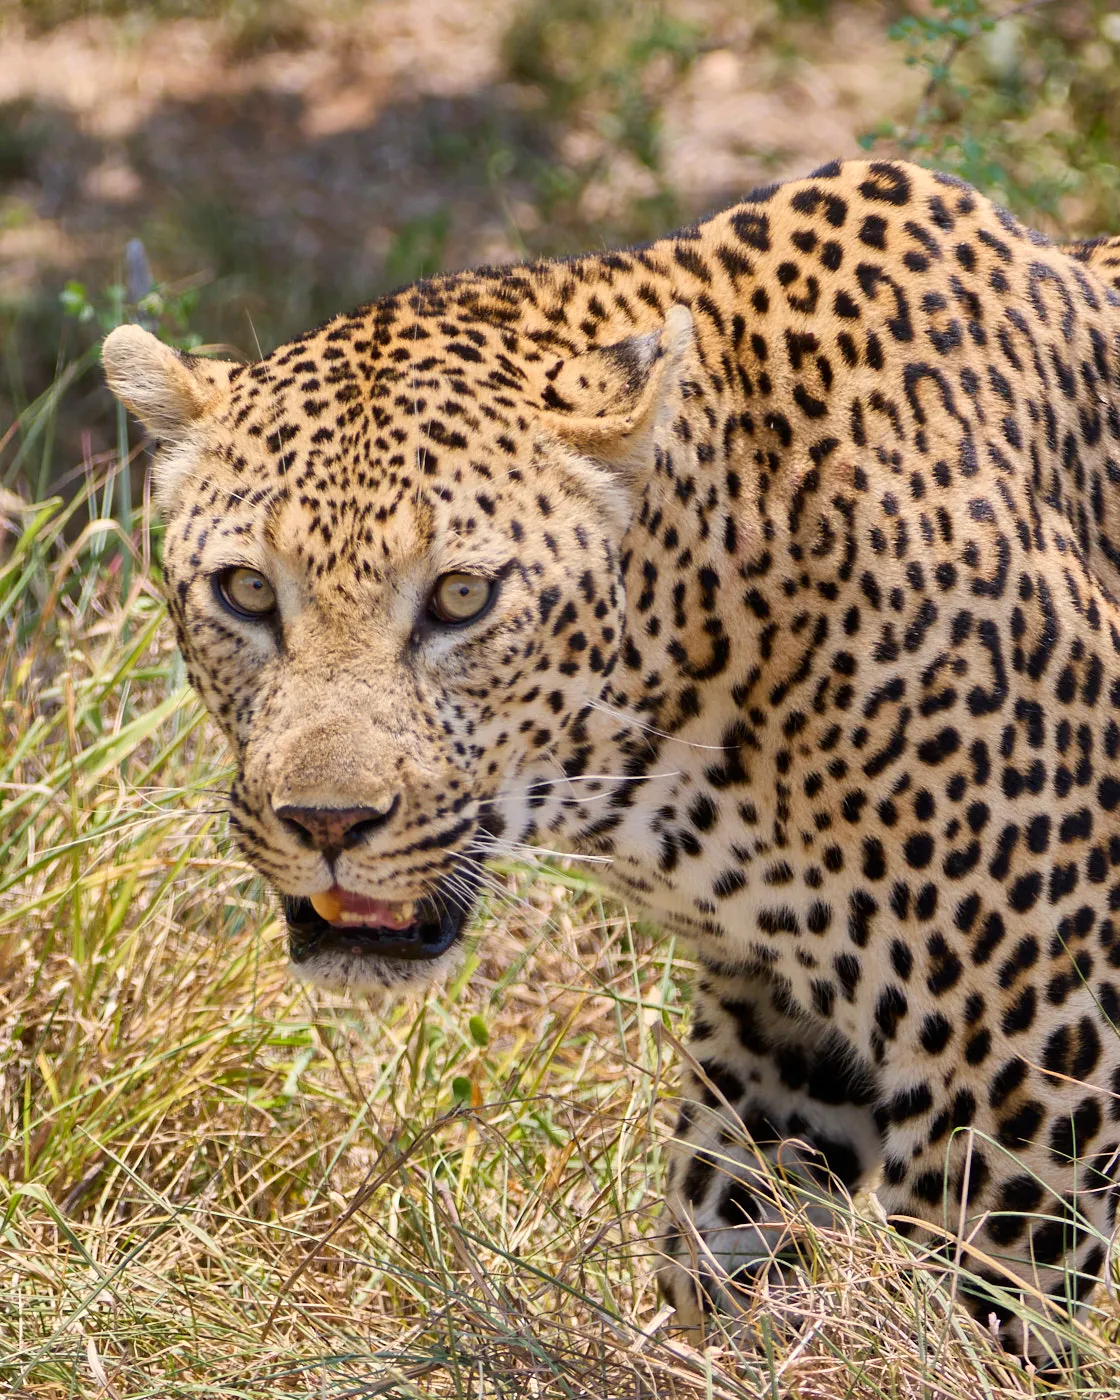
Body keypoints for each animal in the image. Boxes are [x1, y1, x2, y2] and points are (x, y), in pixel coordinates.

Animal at [103, 158, 1120, 1363]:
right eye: (247, 591)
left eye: (461, 596)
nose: (326, 823)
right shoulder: (779, 1014)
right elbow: (723, 1232)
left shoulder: (1026, 1060)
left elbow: (987, 1329)